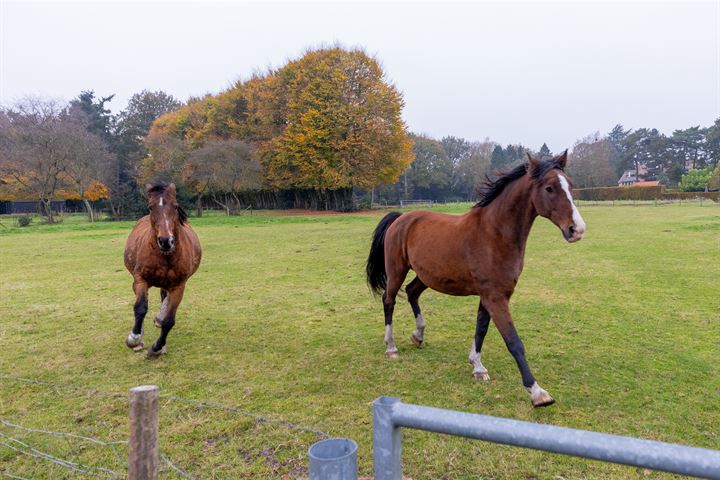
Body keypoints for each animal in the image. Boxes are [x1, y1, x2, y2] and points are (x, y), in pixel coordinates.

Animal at [124, 182, 202, 358]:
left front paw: (157, 347)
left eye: (175, 206)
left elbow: (169, 321)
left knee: (164, 297)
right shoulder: (141, 279)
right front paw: (134, 338)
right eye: (151, 207)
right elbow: (140, 307)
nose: (166, 241)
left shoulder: (179, 286)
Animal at [366, 152, 584, 406]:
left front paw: (478, 367)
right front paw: (537, 392)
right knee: (389, 300)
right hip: (396, 271)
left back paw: (418, 335)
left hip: (426, 275)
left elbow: (481, 329)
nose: (577, 229)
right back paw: (391, 347)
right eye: (549, 188)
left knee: (412, 292)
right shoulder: (495, 297)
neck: (494, 234)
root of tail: (401, 218)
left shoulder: (491, 295)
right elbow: (514, 342)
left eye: (570, 185)